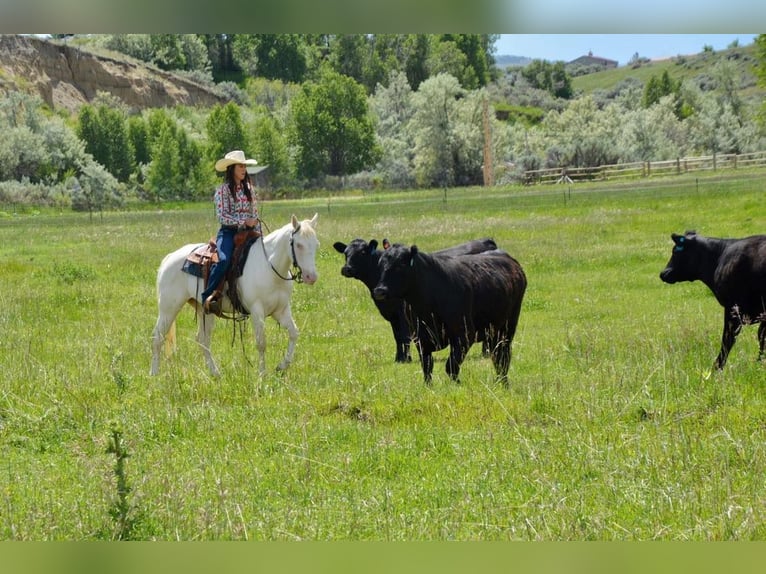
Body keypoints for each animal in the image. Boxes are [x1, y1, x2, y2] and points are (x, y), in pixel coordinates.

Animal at [150, 213, 320, 378]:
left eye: (316, 244)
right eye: (299, 245)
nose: (311, 277)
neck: (270, 267)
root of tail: (170, 257)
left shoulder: (281, 310)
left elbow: (294, 333)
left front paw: (281, 366)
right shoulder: (257, 311)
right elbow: (261, 343)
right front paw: (262, 375)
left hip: (204, 309)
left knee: (203, 339)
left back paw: (215, 373)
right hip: (168, 308)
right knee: (157, 337)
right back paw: (154, 374)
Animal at [334, 238, 500, 364]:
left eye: (362, 252)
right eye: (346, 253)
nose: (346, 268)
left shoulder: (403, 314)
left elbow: (404, 337)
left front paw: (405, 359)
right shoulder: (392, 316)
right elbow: (397, 337)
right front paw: (398, 358)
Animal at [374, 244, 528, 388]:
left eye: (400, 265)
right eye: (380, 265)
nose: (380, 290)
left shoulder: (464, 335)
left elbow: (451, 366)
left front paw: (458, 384)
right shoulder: (420, 338)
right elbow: (427, 366)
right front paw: (429, 387)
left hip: (508, 327)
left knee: (503, 357)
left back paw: (504, 383)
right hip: (492, 331)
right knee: (497, 356)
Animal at [660, 232, 766, 372]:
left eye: (675, 251)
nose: (663, 273)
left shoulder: (732, 308)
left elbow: (727, 340)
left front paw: (717, 368)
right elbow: (762, 337)